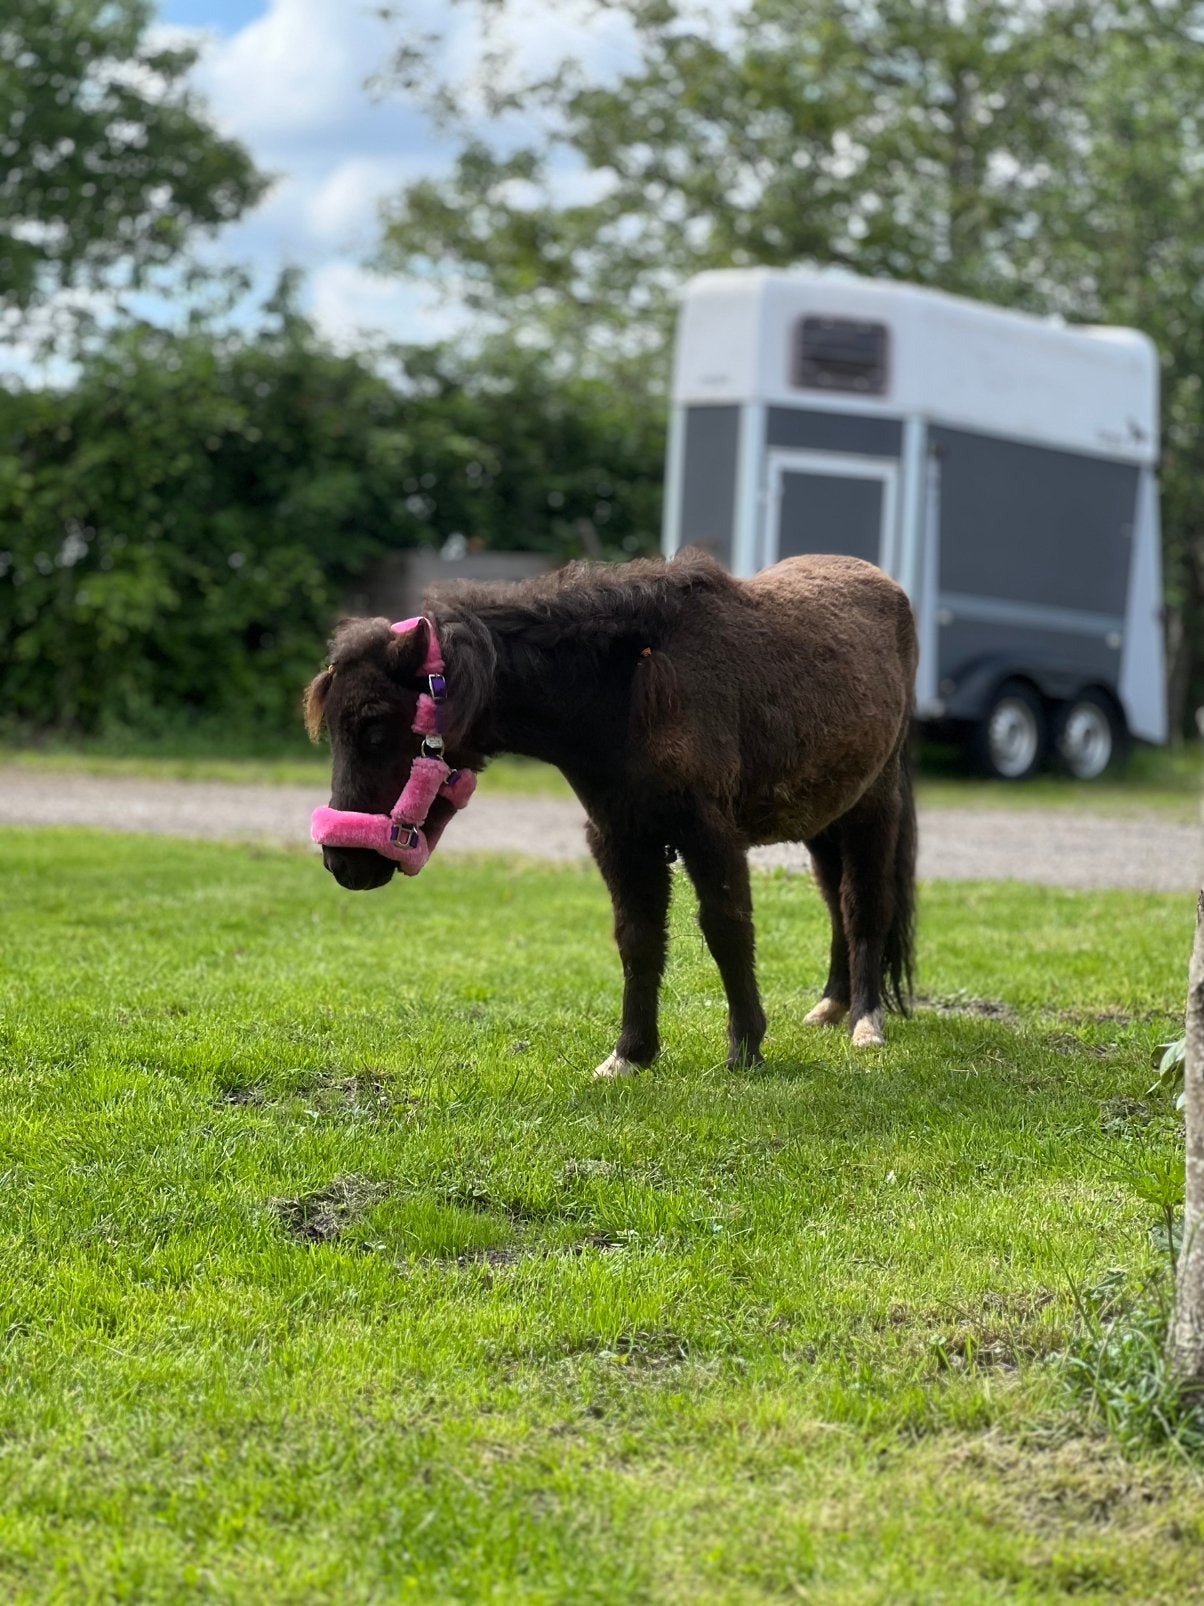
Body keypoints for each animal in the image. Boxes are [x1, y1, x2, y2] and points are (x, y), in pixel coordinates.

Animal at [304, 550, 918, 1076]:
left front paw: (745, 1049)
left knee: (863, 905)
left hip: (872, 810)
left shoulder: (711, 835)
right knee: (836, 902)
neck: (629, 691)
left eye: (375, 728)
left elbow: (727, 929)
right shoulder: (622, 838)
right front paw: (630, 1054)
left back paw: (866, 1021)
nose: (341, 862)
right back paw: (832, 1005)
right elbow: (638, 938)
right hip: (825, 819)